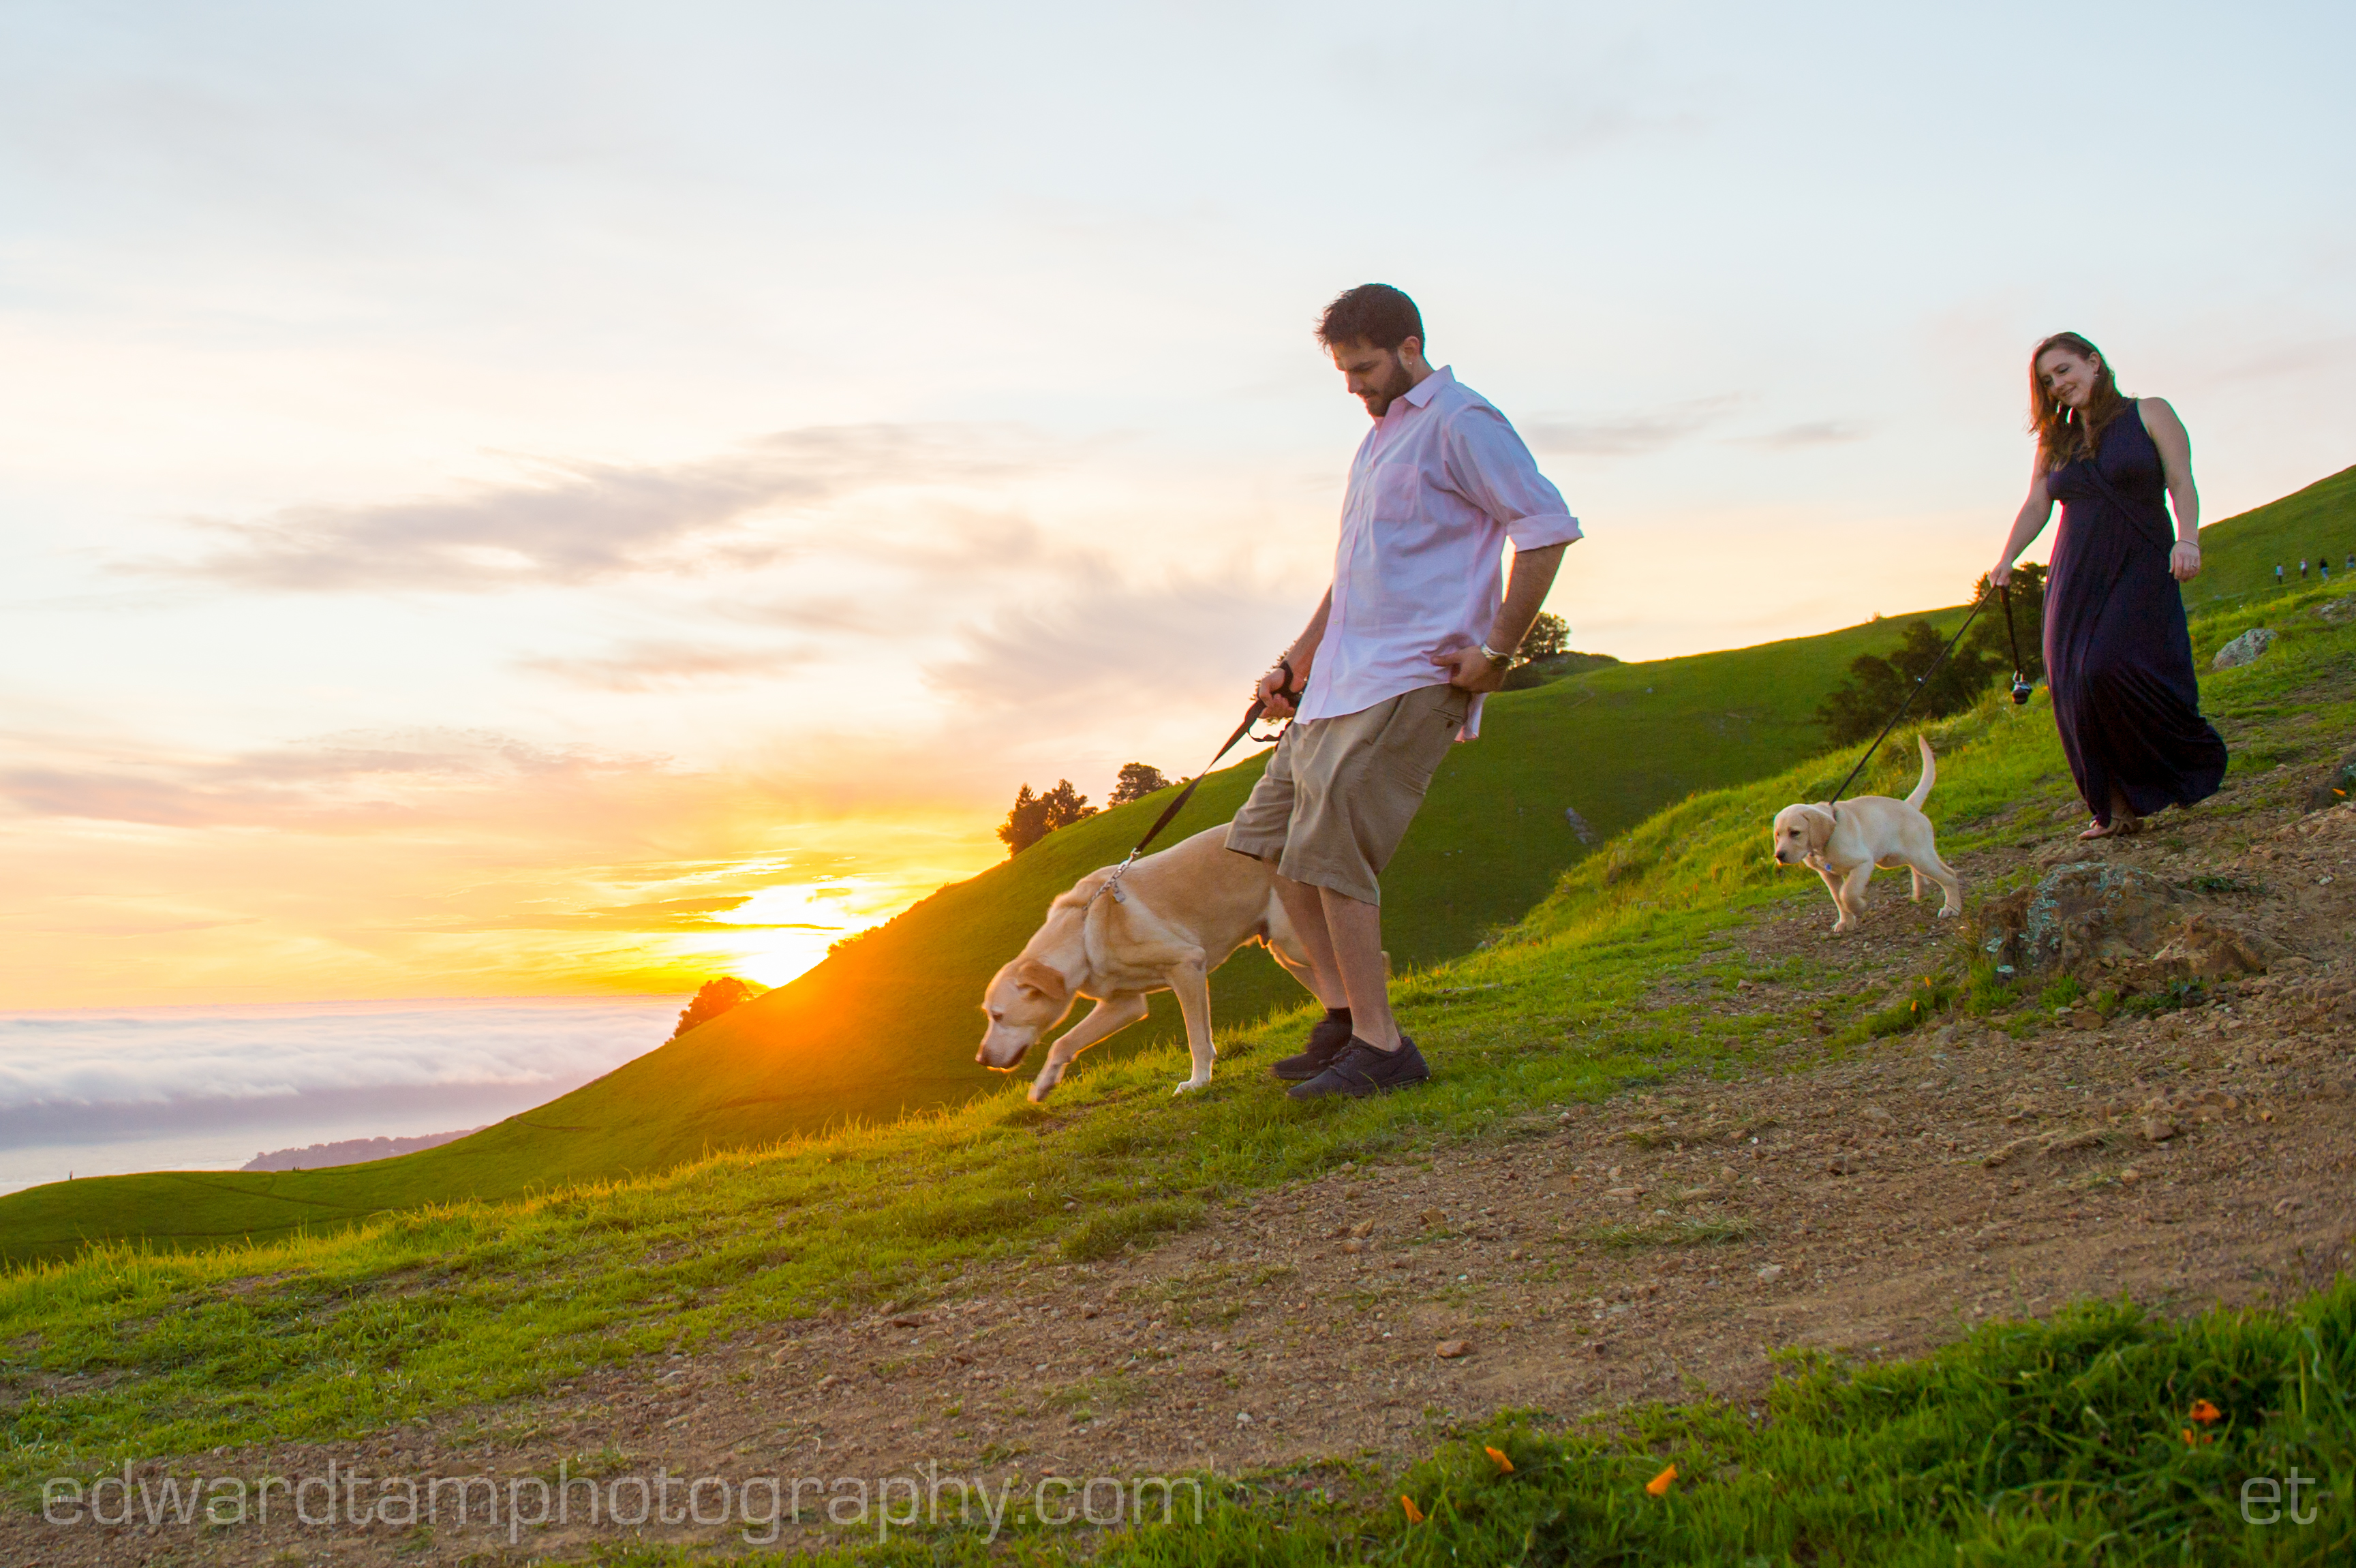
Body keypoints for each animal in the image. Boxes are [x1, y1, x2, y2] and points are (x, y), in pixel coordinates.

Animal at [966, 819, 1319, 1097]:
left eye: (998, 1015)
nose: (981, 1059)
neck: (1081, 933)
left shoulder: (1187, 965)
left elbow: (1197, 1039)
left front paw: (1198, 1082)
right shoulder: (1125, 1003)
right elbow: (1063, 1043)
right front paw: (1043, 1085)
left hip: (1294, 940)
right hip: (1284, 948)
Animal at [1771, 734, 1960, 927]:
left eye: (1795, 833)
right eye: (1778, 835)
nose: (1779, 856)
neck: (1825, 843)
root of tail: (1909, 805)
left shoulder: (1863, 863)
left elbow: (1847, 893)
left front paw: (1859, 907)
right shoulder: (1828, 875)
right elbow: (1838, 898)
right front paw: (1845, 923)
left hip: (1920, 856)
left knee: (1950, 875)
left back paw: (1951, 908)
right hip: (1893, 858)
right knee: (1919, 869)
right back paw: (1920, 890)